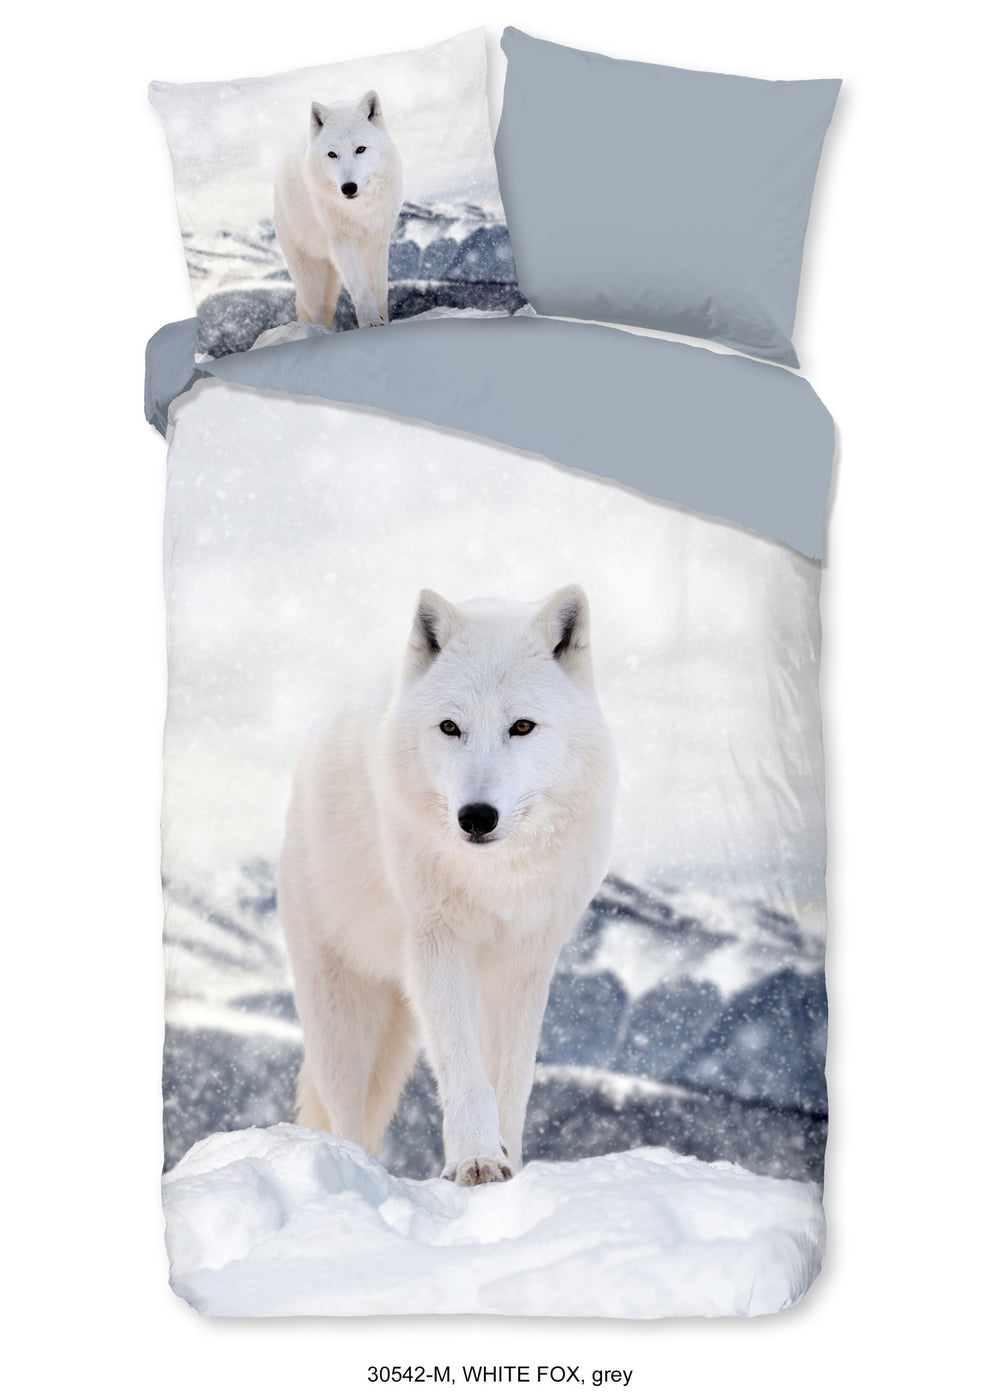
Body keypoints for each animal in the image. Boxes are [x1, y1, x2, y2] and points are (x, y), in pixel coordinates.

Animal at [274, 90, 404, 330]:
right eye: (332, 154)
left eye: (360, 149)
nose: (348, 187)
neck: (360, 210)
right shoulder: (342, 241)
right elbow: (361, 289)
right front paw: (371, 321)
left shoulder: (378, 241)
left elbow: (380, 289)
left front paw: (384, 322)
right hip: (309, 278)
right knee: (316, 312)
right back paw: (320, 333)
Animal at [278, 585, 617, 1185]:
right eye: (450, 727)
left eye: (522, 727)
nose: (476, 817)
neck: (496, 880)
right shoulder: (438, 947)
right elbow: (462, 1068)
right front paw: (476, 1160)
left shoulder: (526, 964)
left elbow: (512, 1081)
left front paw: (507, 1161)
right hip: (340, 1016)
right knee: (345, 1114)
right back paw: (356, 1170)